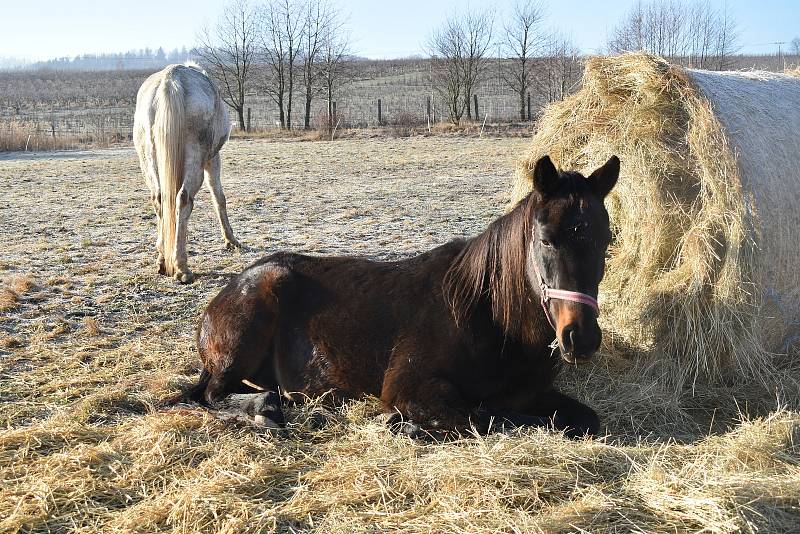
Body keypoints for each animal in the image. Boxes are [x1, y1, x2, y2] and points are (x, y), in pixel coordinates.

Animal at [134, 63, 241, 284]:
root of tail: (171, 78)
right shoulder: (212, 159)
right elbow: (219, 197)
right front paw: (231, 240)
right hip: (196, 159)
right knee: (183, 199)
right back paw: (182, 267)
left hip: (149, 159)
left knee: (160, 200)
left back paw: (163, 260)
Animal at [181, 156, 620, 440]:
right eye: (546, 240)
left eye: (606, 241)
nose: (581, 338)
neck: (489, 318)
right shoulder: (411, 388)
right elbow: (481, 418)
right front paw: (403, 425)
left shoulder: (533, 394)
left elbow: (583, 421)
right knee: (213, 395)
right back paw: (266, 412)